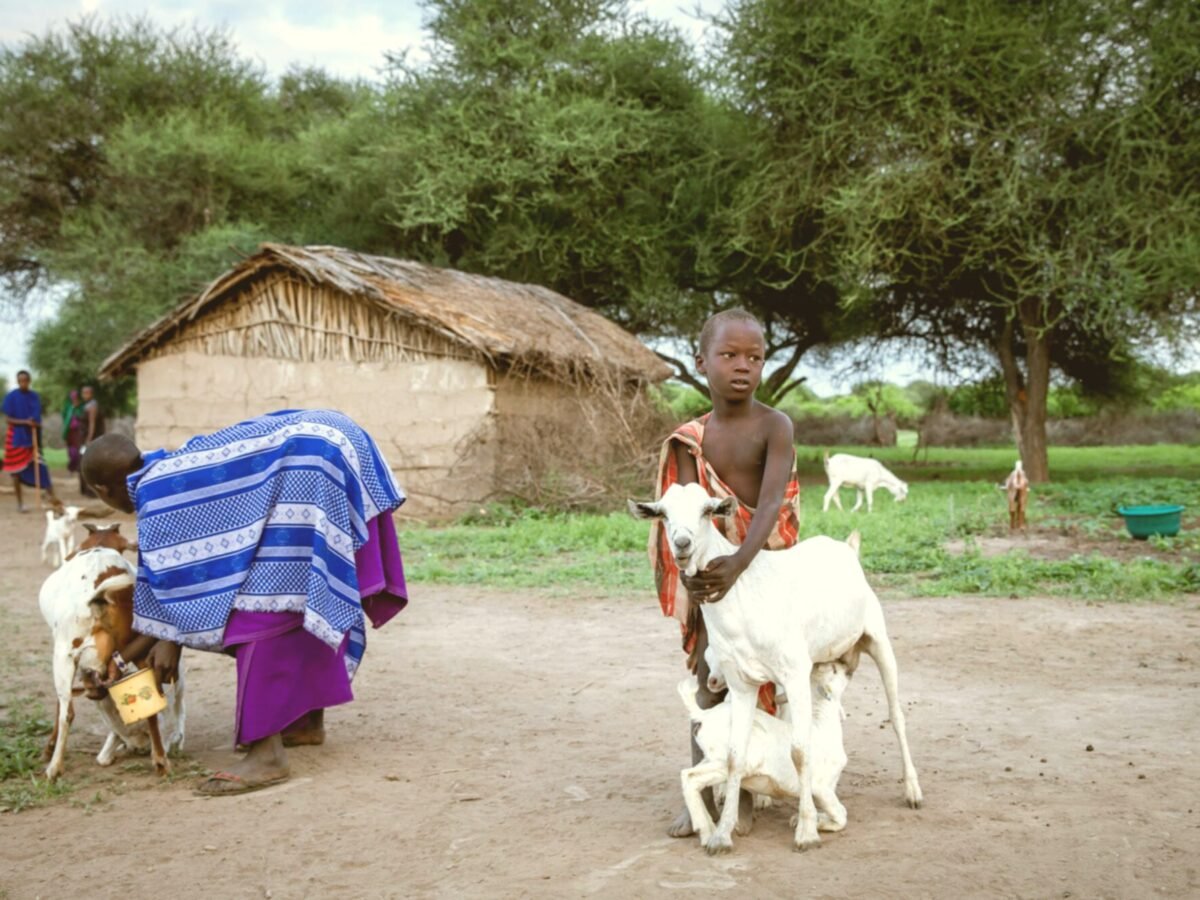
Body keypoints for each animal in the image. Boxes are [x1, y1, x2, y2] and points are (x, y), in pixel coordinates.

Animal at [678, 661, 853, 844]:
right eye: (834, 670)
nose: (847, 667)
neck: (821, 727)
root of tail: (704, 715)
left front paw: (805, 821)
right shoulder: (820, 788)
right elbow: (841, 815)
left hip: (711, 760)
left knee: (692, 779)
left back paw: (708, 829)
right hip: (733, 763)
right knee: (690, 777)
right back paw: (707, 832)